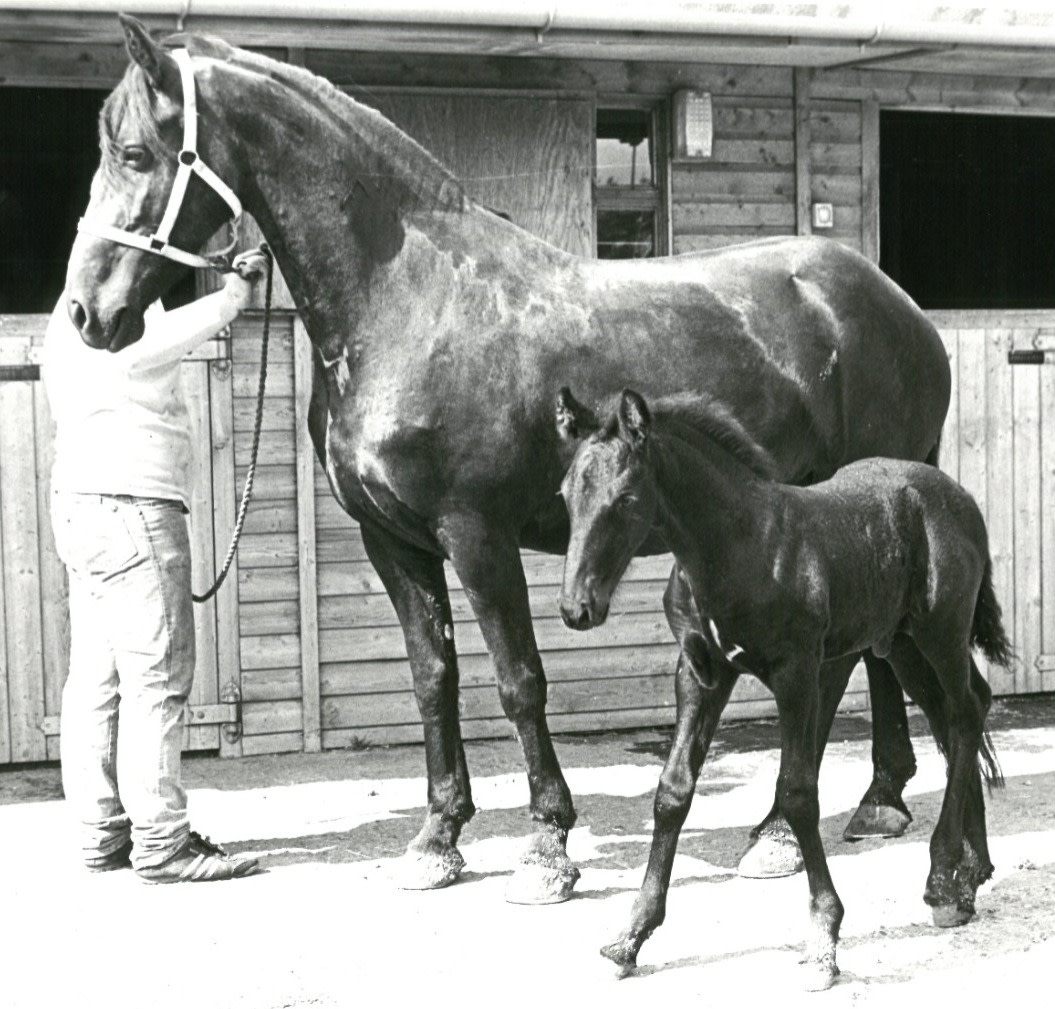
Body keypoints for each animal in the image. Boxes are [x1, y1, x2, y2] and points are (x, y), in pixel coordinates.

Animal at [62, 15, 950, 904]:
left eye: (135, 153)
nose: (86, 314)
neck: (408, 302)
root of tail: (900, 309)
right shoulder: (394, 540)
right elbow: (433, 677)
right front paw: (437, 838)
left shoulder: (476, 533)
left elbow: (518, 681)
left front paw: (547, 845)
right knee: (876, 646)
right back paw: (878, 799)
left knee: (844, 662)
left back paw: (776, 834)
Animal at [556, 386, 1009, 989]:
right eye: (566, 496)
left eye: (627, 498)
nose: (576, 608)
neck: (737, 545)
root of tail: (962, 499)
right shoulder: (700, 672)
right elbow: (672, 792)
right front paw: (631, 935)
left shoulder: (798, 672)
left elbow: (797, 793)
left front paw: (823, 940)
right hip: (902, 643)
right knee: (961, 713)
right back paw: (971, 872)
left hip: (941, 630)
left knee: (962, 715)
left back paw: (942, 880)